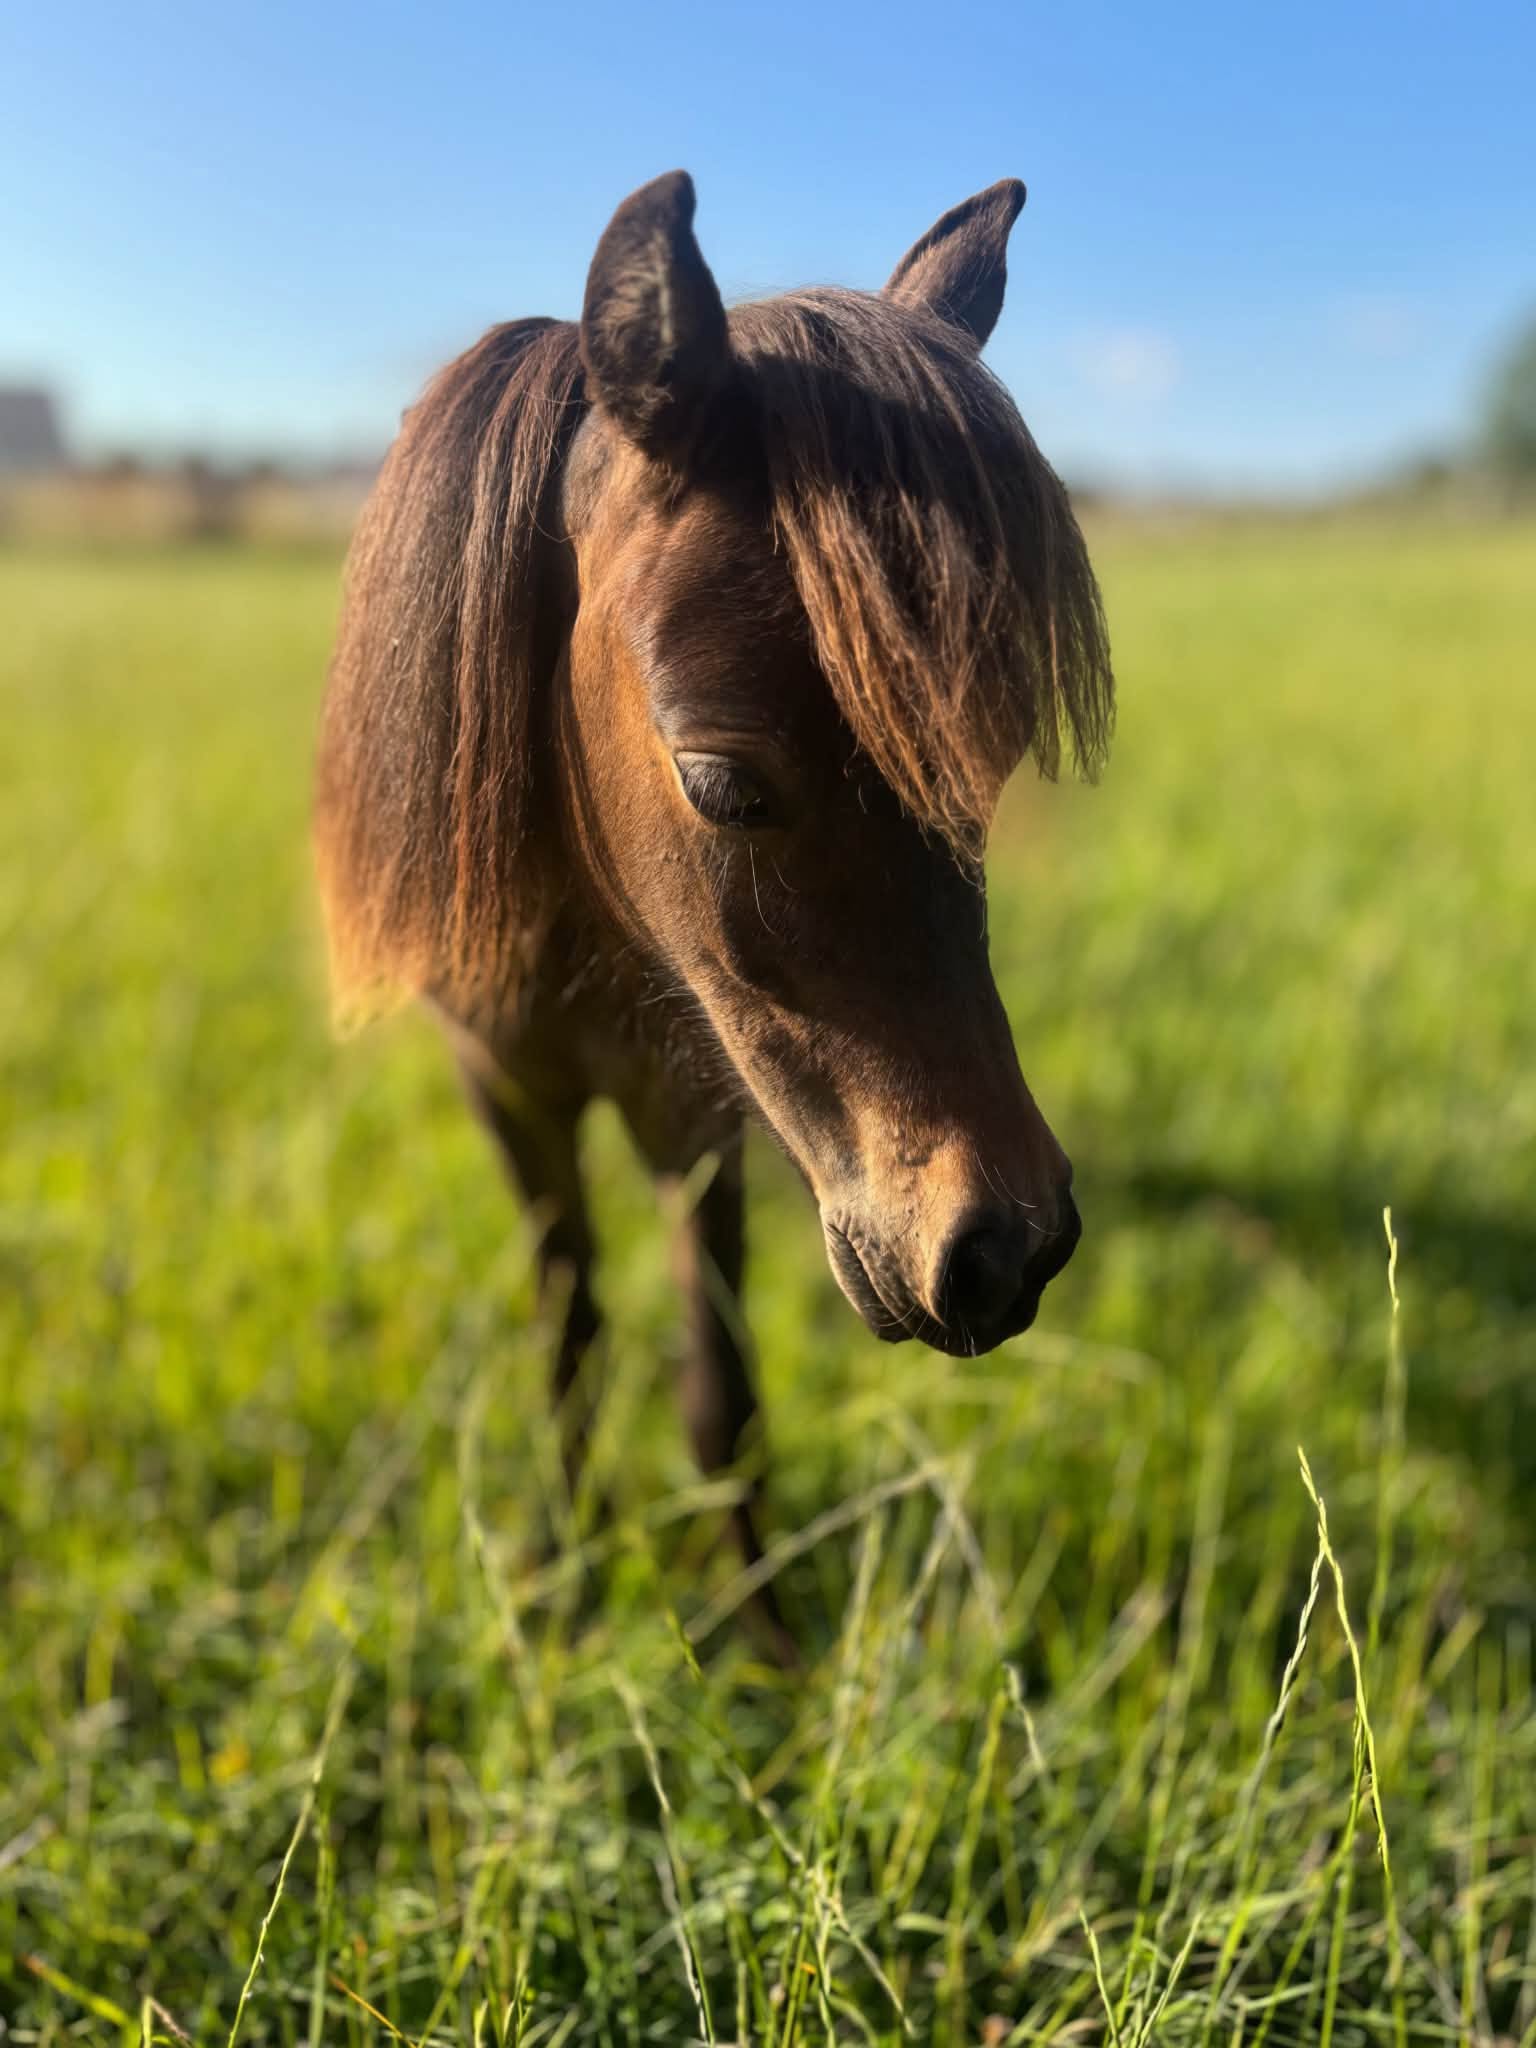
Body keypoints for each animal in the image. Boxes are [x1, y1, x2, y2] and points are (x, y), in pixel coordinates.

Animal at [314, 170, 1113, 1645]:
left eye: (986, 761)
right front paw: (564, 1577)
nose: (1007, 1249)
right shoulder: (505, 1094)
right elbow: (572, 1332)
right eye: (720, 781)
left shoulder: (703, 1120)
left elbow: (720, 1389)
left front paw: (759, 1638)